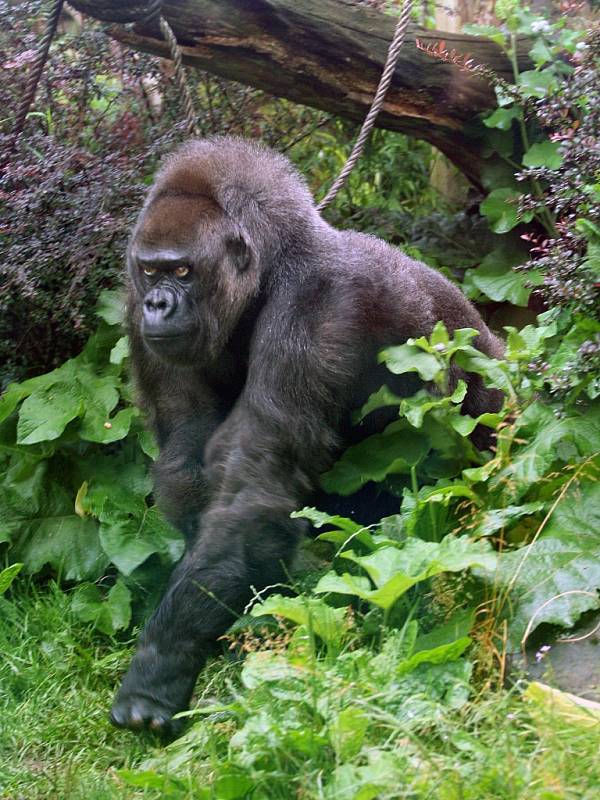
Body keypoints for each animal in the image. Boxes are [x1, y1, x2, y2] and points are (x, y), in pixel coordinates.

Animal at [110, 134, 504, 736]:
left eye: (182, 272)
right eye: (152, 273)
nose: (158, 304)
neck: (272, 265)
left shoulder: (320, 308)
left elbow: (253, 492)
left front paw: (159, 667)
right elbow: (190, 465)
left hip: (491, 417)